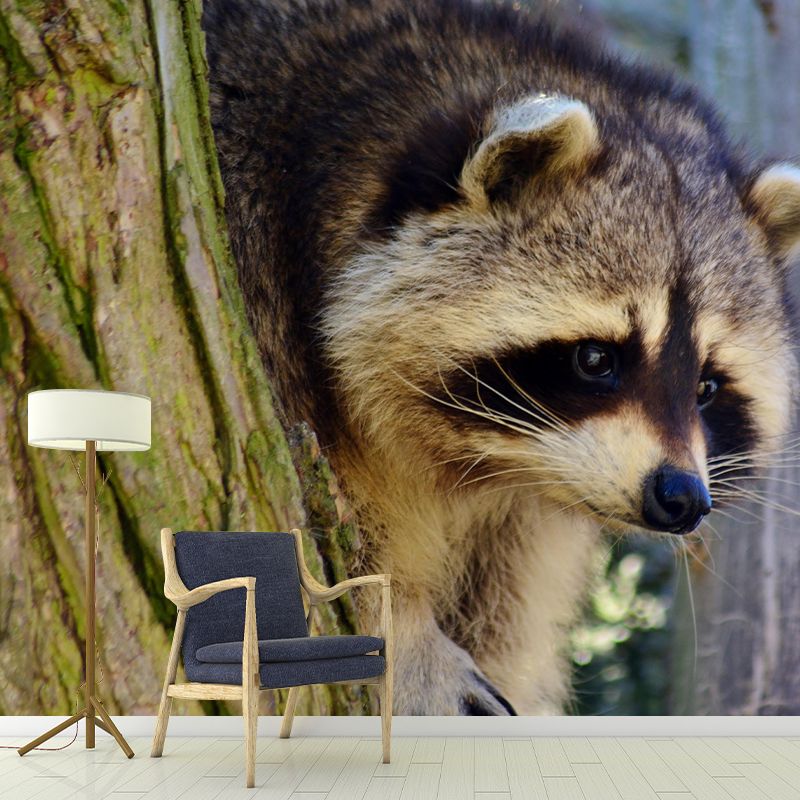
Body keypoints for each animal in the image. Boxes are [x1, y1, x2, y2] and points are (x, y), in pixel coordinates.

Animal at [202, 0, 800, 714]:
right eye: (596, 360)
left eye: (708, 386)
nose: (681, 498)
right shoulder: (257, 273)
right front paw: (406, 635)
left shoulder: (534, 506)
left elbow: (509, 600)